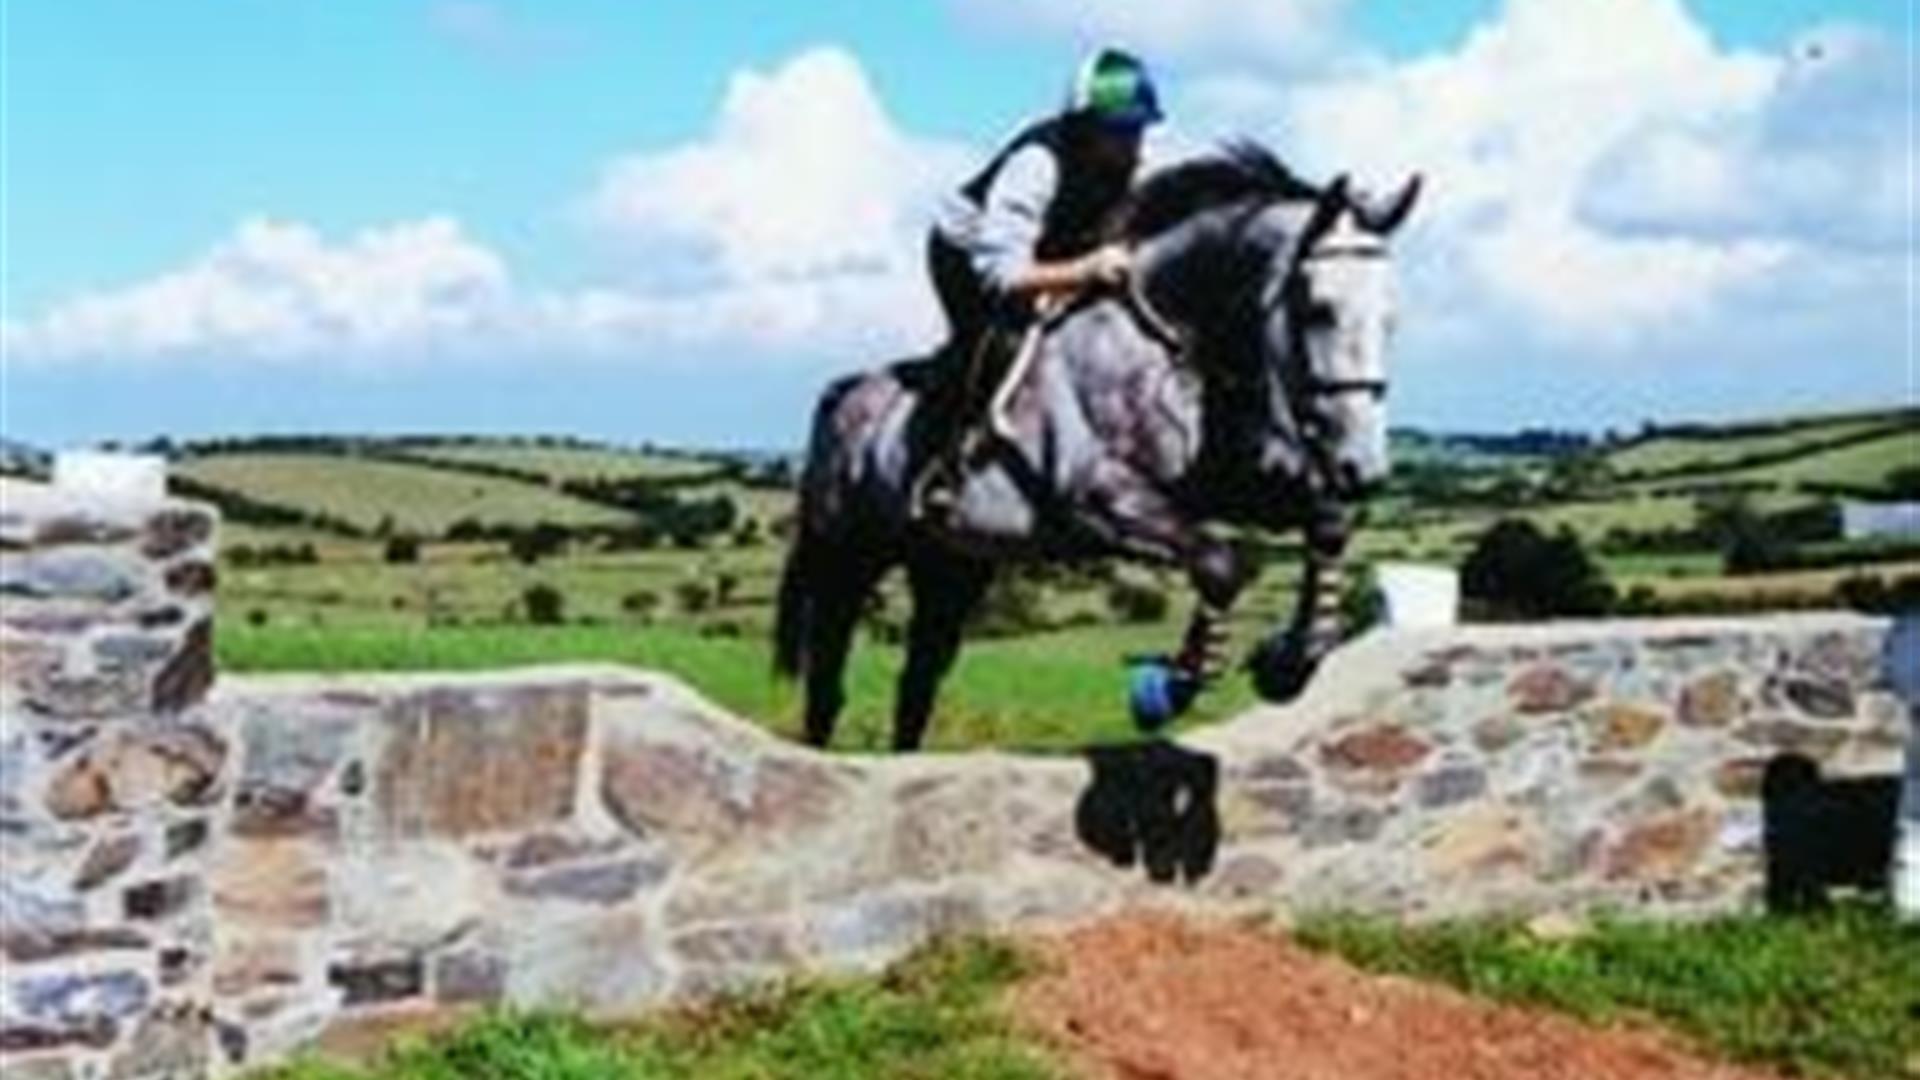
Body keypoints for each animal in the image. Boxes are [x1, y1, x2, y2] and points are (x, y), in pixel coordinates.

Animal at [771, 143, 1420, 749]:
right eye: (1317, 311)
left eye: (1393, 319)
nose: (1363, 468)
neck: (1172, 338)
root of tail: (842, 395)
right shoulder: (1101, 500)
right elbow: (1221, 562)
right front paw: (1166, 690)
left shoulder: (1224, 485)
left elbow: (1325, 521)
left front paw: (1291, 661)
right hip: (848, 558)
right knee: (827, 681)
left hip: (950, 565)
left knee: (918, 683)